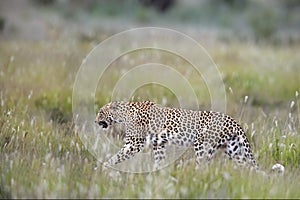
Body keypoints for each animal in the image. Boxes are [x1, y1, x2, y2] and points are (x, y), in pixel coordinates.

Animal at [95, 101, 258, 170]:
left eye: (101, 112)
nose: (95, 121)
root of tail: (233, 120)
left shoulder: (134, 143)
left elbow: (117, 156)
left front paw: (104, 167)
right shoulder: (158, 144)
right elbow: (159, 160)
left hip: (203, 146)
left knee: (202, 165)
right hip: (233, 149)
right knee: (247, 166)